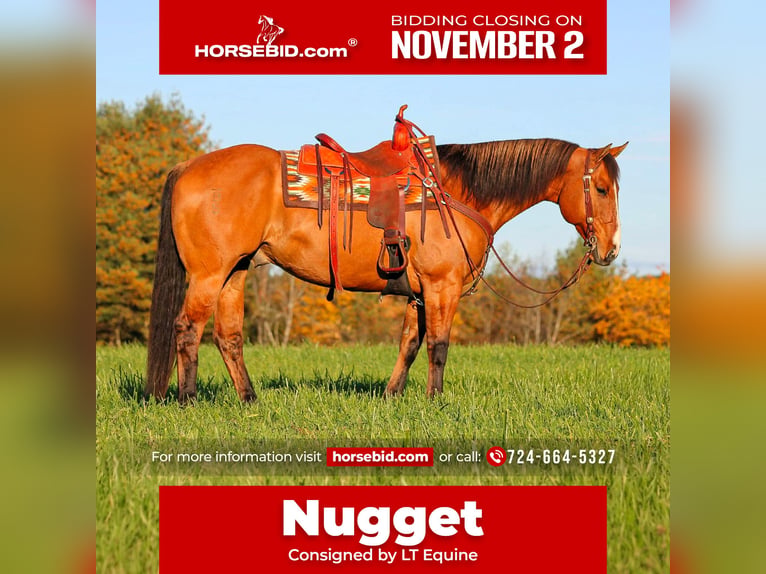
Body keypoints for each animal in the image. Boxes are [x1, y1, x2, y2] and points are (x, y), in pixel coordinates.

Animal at [144, 123, 627, 404]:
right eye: (602, 189)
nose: (611, 250)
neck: (457, 191)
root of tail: (187, 166)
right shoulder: (441, 286)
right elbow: (438, 346)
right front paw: (435, 402)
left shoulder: (419, 293)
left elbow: (409, 344)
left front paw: (393, 396)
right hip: (209, 275)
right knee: (187, 329)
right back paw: (187, 399)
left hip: (235, 272)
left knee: (228, 337)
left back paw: (249, 400)